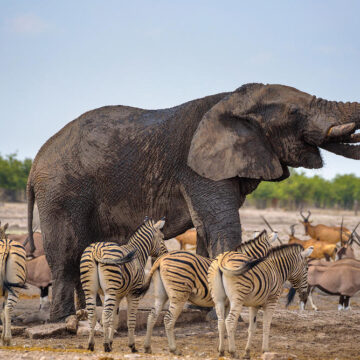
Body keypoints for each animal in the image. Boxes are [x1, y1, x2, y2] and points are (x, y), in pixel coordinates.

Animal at [26, 82, 360, 320]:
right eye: (294, 112)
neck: (231, 99)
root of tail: (34, 164)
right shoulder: (197, 168)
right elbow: (222, 226)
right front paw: (222, 314)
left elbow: (205, 230)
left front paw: (202, 309)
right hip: (61, 191)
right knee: (66, 253)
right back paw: (64, 318)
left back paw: (88, 312)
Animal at [79, 217, 167, 352]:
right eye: (162, 237)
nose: (166, 253)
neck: (138, 254)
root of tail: (96, 250)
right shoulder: (134, 293)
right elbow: (130, 320)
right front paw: (132, 345)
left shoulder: (118, 295)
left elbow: (114, 320)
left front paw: (111, 342)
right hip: (109, 290)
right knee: (104, 315)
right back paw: (105, 346)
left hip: (90, 290)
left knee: (92, 315)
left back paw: (91, 344)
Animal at [134, 229, 278, 352]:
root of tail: (161, 258)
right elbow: (229, 323)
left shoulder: (226, 302)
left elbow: (223, 323)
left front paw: (223, 346)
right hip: (178, 293)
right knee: (167, 319)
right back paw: (173, 349)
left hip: (161, 294)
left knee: (152, 316)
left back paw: (147, 347)